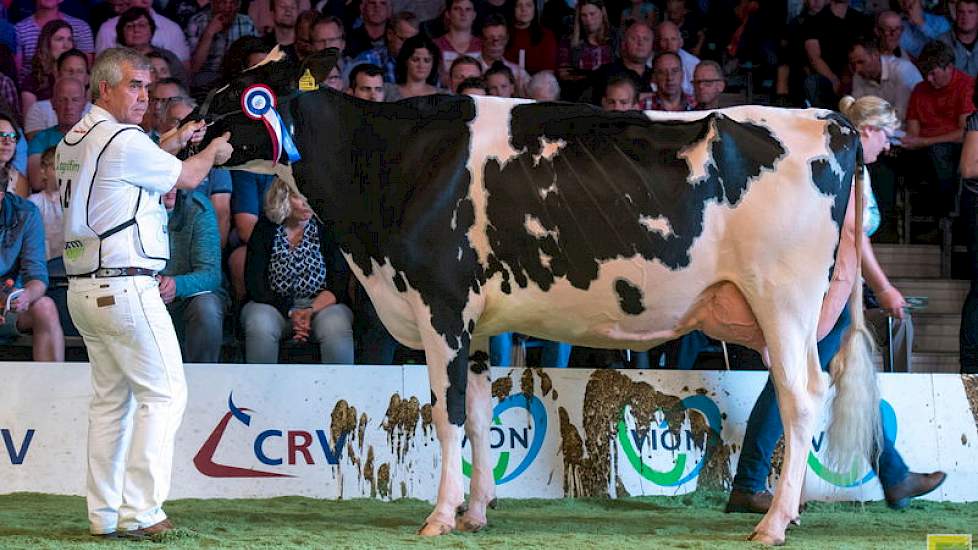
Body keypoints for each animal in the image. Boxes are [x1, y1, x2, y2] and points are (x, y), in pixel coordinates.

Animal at [196, 48, 876, 548]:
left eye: (244, 91)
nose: (188, 125)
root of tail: (829, 120)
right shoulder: (473, 325)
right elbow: (476, 412)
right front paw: (475, 513)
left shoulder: (441, 307)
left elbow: (446, 416)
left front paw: (438, 518)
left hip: (783, 301)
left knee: (800, 397)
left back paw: (773, 524)